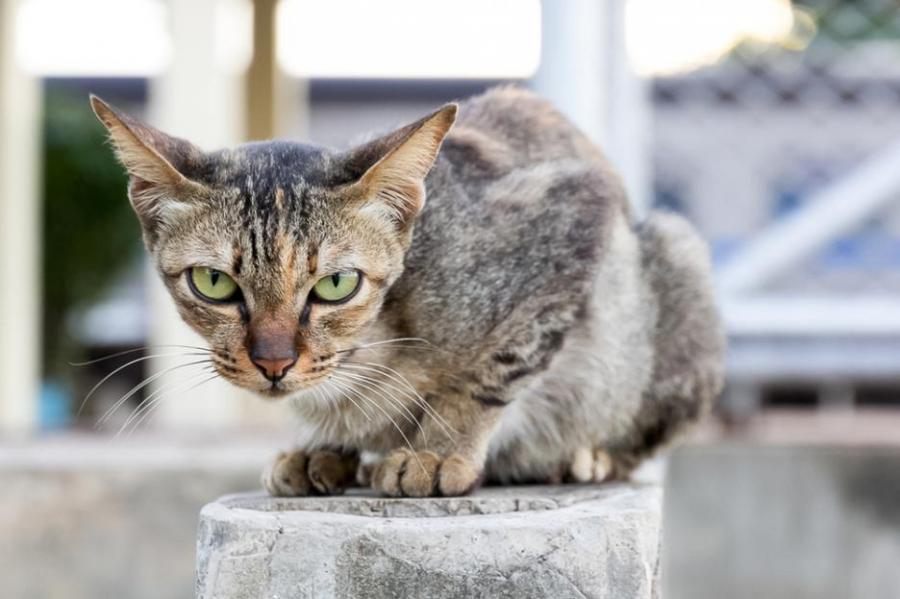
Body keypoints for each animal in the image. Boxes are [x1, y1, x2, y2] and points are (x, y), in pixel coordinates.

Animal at [89, 85, 724, 496]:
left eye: (336, 284)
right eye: (214, 282)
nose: (273, 362)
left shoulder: (573, 212)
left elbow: (491, 370)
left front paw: (436, 448)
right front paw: (323, 447)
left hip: (675, 255)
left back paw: (588, 456)